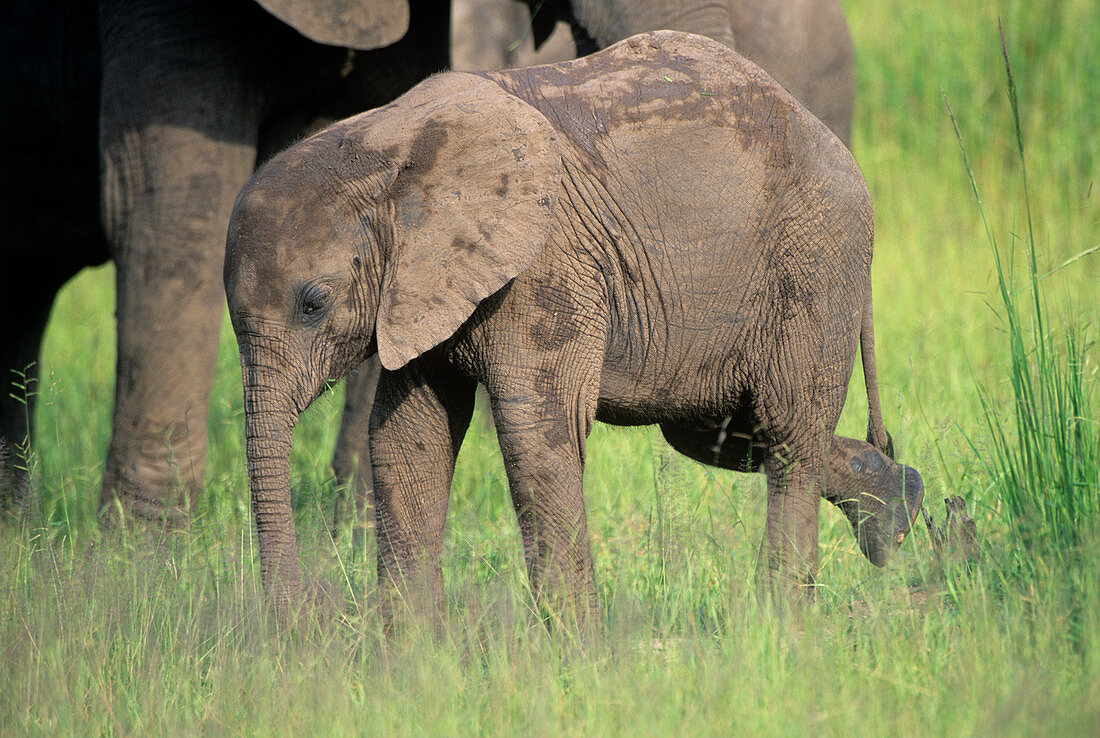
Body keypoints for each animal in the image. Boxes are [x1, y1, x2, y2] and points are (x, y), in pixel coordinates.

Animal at [227, 31, 924, 624]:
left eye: (314, 304)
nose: (294, 624)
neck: (384, 144)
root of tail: (830, 139)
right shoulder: (423, 286)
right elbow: (409, 439)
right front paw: (410, 662)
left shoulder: (542, 266)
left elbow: (538, 432)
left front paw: (577, 657)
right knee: (724, 433)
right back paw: (897, 513)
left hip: (814, 263)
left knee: (786, 434)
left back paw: (783, 625)